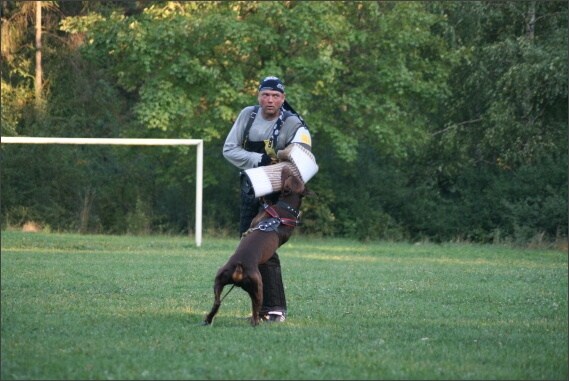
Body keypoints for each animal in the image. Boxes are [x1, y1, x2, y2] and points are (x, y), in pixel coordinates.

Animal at [200, 165, 316, 326]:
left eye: (287, 175)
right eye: (293, 176)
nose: (286, 166)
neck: (287, 208)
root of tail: (240, 266)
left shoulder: (256, 220)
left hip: (254, 287)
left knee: (254, 312)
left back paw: (254, 323)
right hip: (220, 279)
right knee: (217, 303)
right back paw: (208, 319)